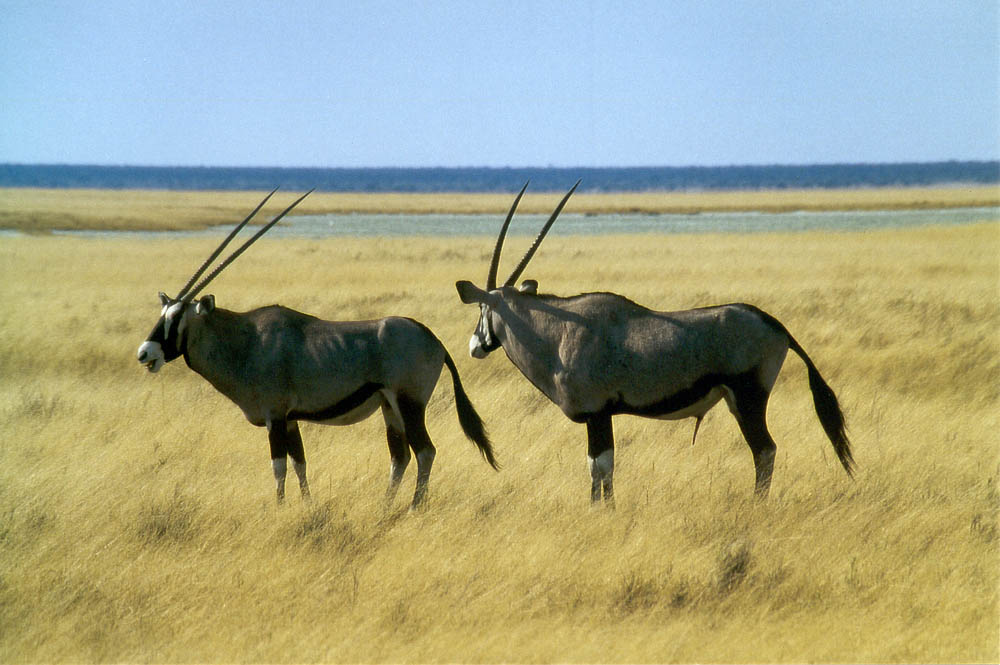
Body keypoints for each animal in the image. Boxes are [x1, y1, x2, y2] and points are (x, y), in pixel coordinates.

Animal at [139, 189, 498, 506]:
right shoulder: (290, 419)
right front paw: (307, 505)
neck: (244, 340)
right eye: (162, 313)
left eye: (176, 319)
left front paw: (280, 507)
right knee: (400, 456)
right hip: (389, 407)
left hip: (409, 403)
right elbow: (300, 463)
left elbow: (279, 466)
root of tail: (433, 339)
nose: (145, 353)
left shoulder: (275, 416)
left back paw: (413, 507)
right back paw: (386, 507)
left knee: (425, 451)